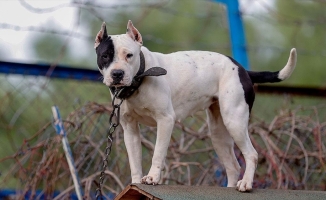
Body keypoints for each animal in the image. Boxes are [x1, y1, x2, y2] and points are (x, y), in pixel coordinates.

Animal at [93, 20, 296, 192]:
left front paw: (152, 178)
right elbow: (134, 160)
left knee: (251, 154)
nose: (117, 74)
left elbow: (158, 153)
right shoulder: (130, 129)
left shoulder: (165, 121)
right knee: (232, 165)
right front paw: (135, 183)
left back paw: (245, 184)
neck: (140, 78)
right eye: (105, 56)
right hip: (218, 133)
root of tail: (241, 69)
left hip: (235, 122)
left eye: (129, 55)